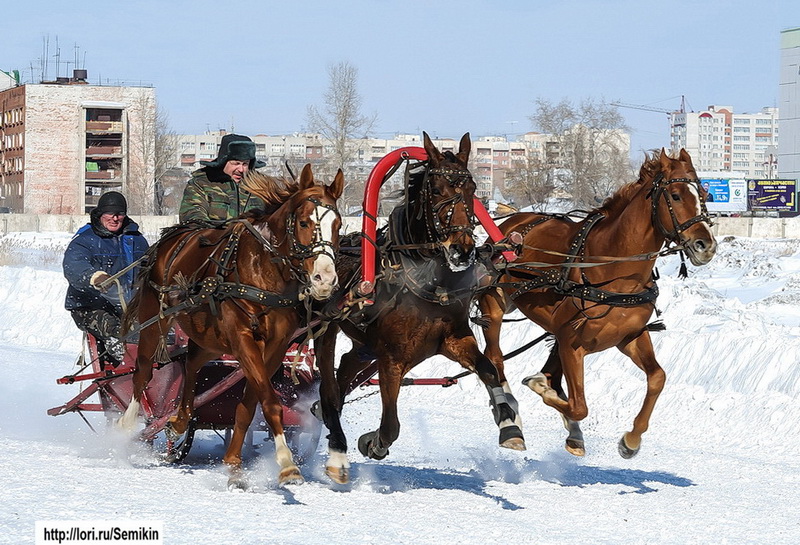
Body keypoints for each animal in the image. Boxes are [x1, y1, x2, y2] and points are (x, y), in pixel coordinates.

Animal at [117, 166, 342, 484]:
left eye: (338, 225)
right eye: (303, 222)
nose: (325, 279)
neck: (264, 272)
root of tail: (172, 237)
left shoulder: (275, 347)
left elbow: (248, 404)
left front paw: (233, 463)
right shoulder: (242, 337)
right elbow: (269, 401)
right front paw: (286, 462)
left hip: (210, 338)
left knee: (192, 363)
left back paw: (179, 420)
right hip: (156, 322)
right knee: (144, 371)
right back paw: (128, 425)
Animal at [316, 133, 528, 484]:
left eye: (472, 188)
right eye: (437, 190)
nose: (462, 251)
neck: (425, 284)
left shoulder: (454, 340)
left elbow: (487, 369)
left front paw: (509, 424)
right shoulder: (391, 359)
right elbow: (391, 425)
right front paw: (373, 442)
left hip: (365, 343)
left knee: (345, 366)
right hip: (328, 328)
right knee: (328, 383)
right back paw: (335, 444)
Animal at [478, 149, 716, 460]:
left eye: (703, 193)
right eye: (675, 195)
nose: (706, 246)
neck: (613, 271)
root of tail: (510, 223)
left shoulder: (629, 336)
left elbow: (658, 377)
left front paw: (631, 440)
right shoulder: (571, 342)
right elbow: (579, 405)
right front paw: (542, 392)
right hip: (494, 304)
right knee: (494, 359)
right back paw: (510, 420)